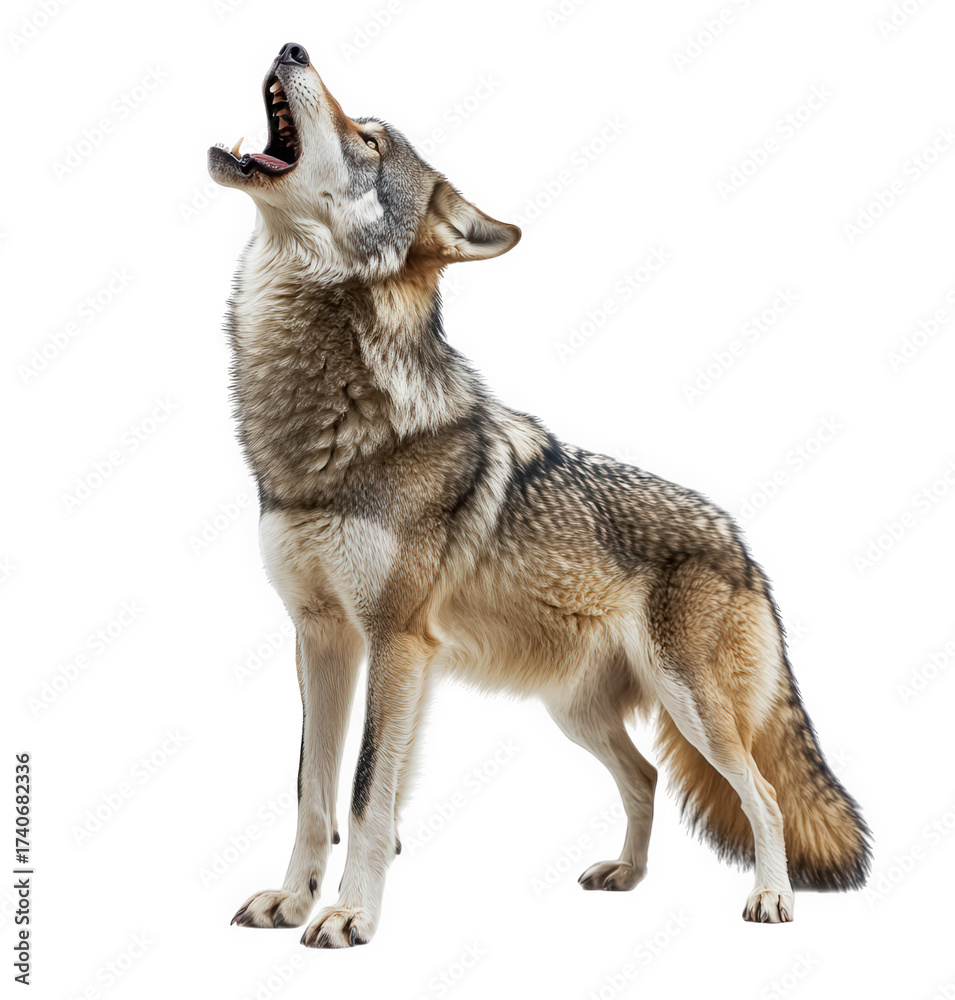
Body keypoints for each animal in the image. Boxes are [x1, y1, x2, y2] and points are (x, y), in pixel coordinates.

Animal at [209, 42, 871, 948]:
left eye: (370, 139)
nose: (292, 47)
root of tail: (740, 542)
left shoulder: (397, 643)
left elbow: (367, 793)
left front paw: (350, 915)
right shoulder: (320, 637)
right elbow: (313, 791)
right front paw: (291, 900)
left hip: (693, 707)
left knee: (761, 795)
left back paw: (771, 899)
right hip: (579, 715)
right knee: (645, 778)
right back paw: (625, 875)